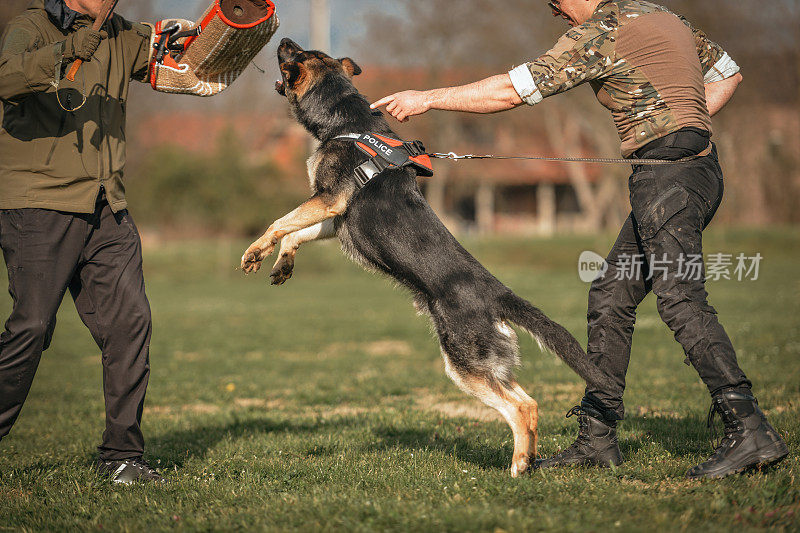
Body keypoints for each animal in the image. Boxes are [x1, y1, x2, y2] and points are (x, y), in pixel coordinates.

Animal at [241, 39, 604, 476]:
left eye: (297, 54)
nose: (281, 40)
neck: (344, 120)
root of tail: (498, 294)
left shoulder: (328, 200)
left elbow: (279, 223)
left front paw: (254, 251)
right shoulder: (333, 217)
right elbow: (295, 233)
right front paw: (282, 263)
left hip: (464, 365)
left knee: (519, 408)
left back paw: (518, 466)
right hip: (485, 363)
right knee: (530, 404)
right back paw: (527, 462)